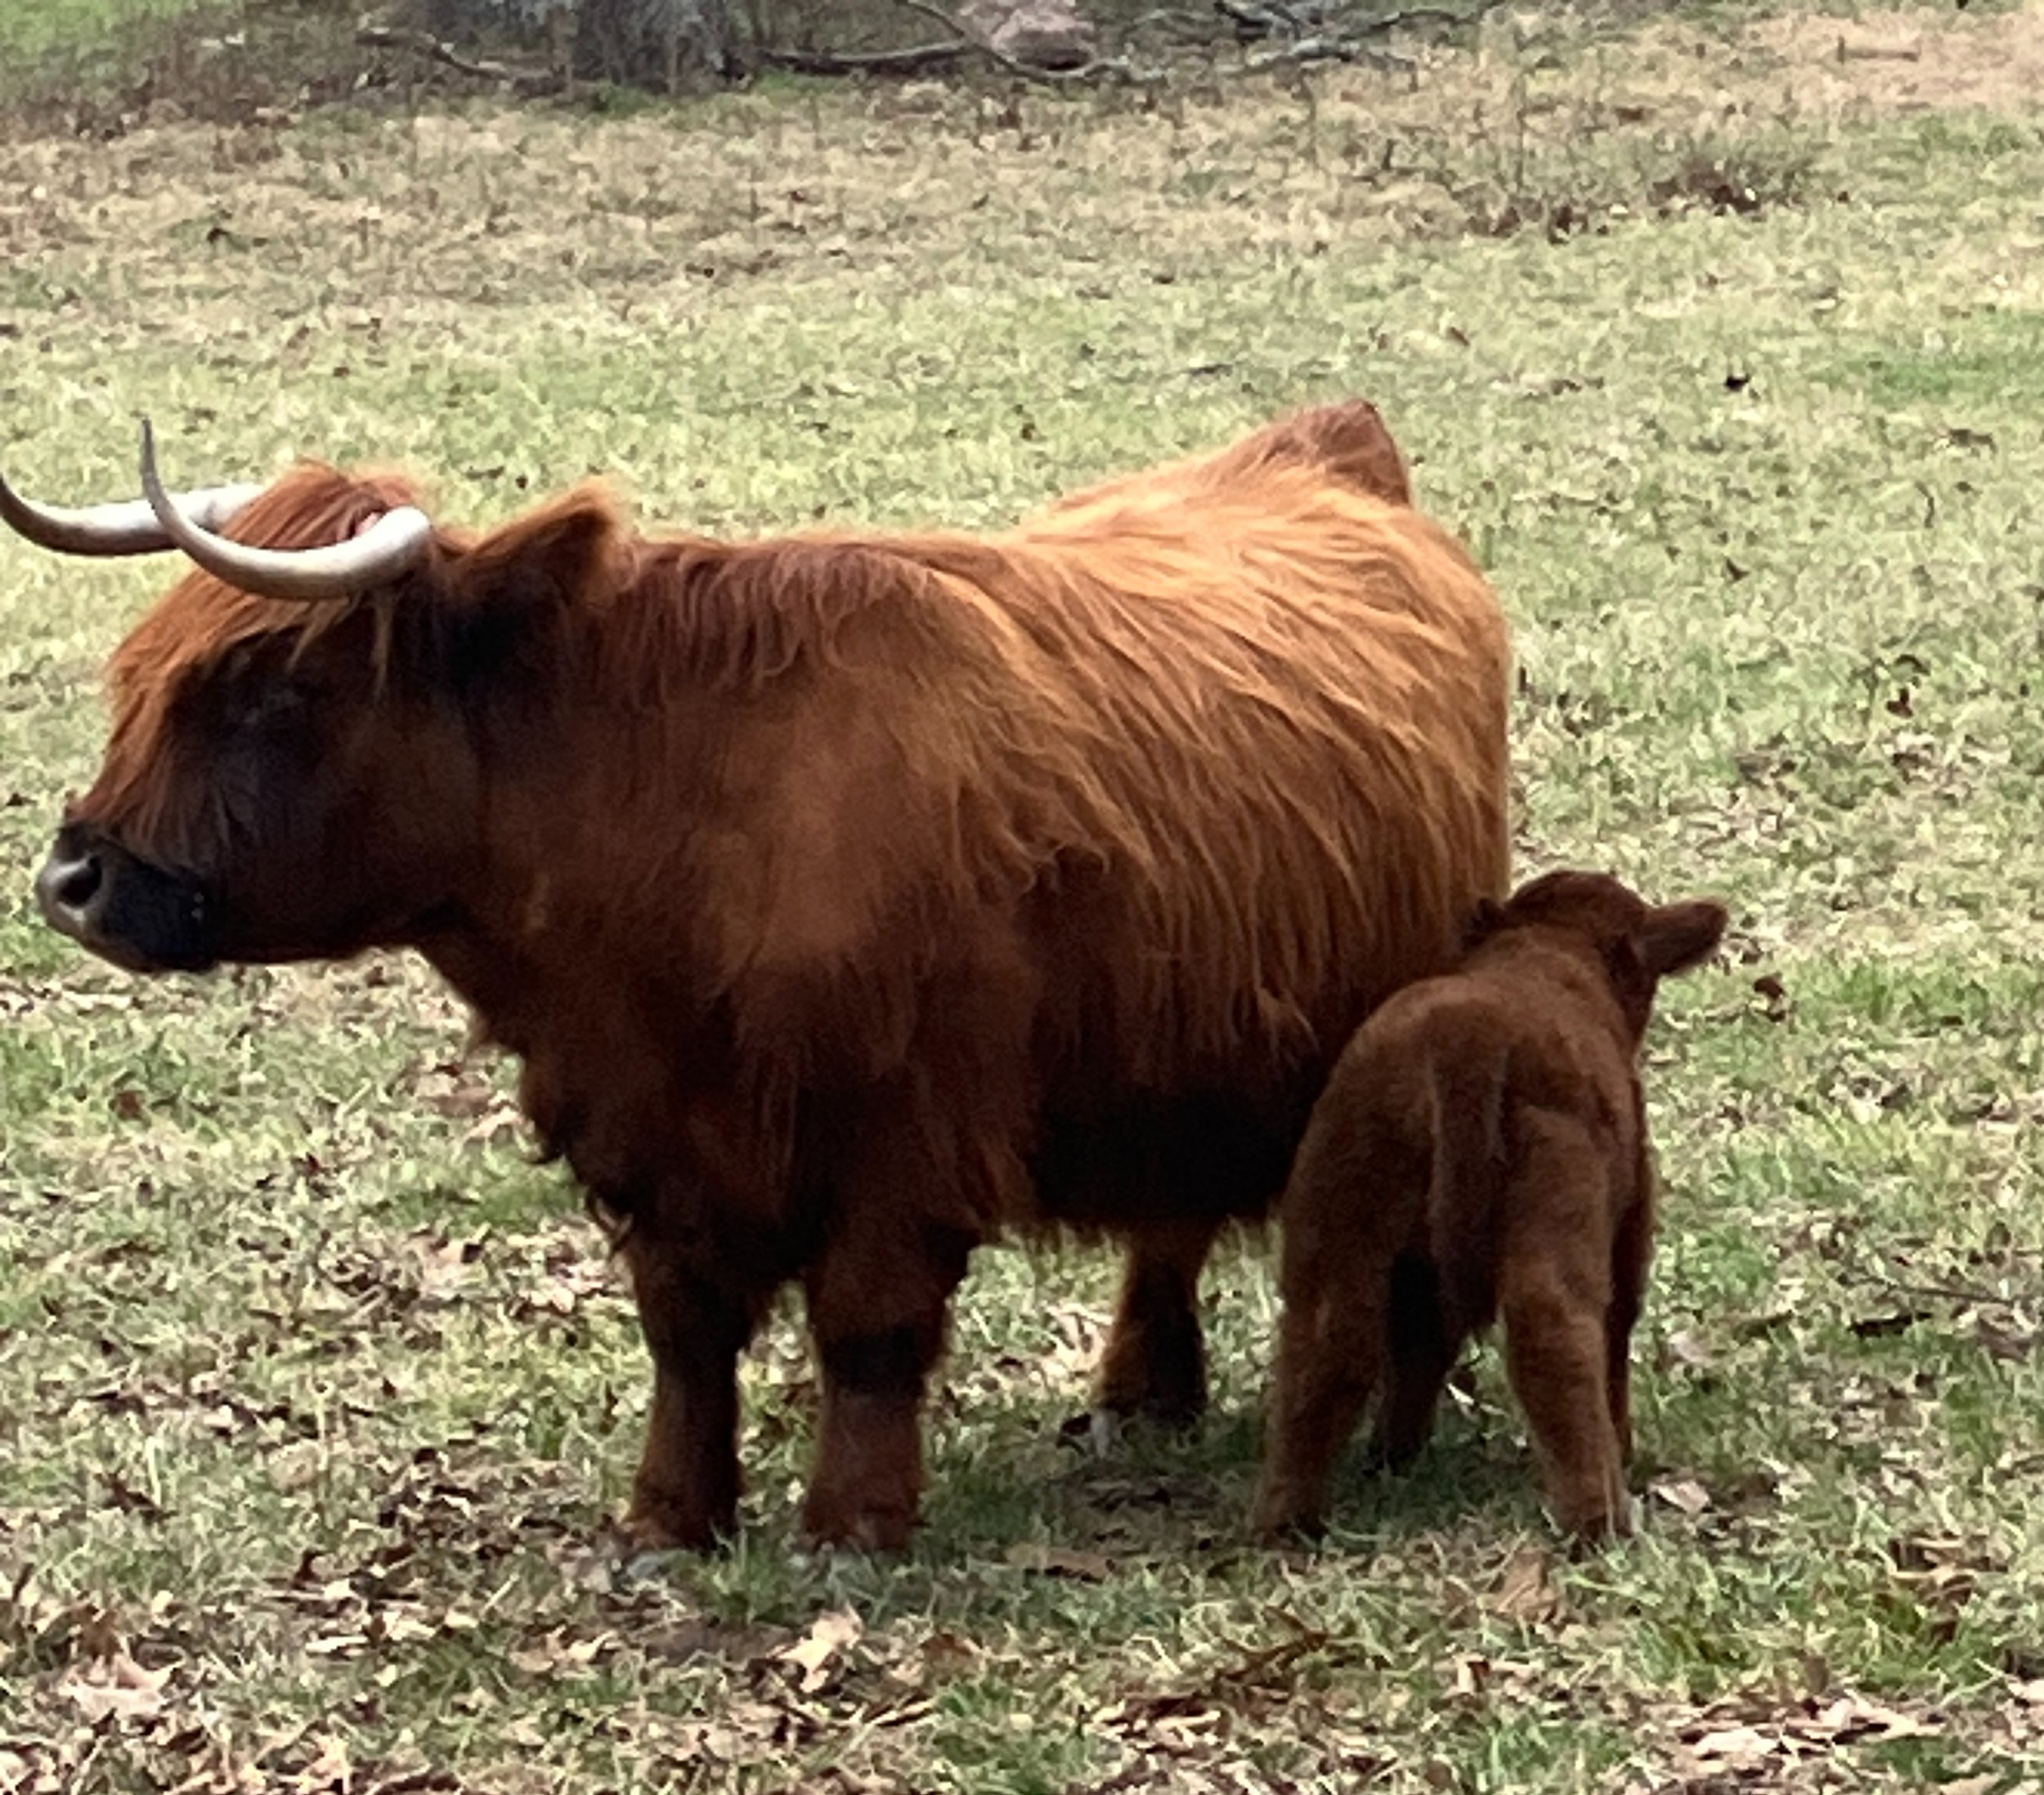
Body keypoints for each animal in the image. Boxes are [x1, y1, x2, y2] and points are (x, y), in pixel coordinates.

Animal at [8, 400, 1510, 1551]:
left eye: (273, 686)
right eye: (145, 673)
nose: (73, 879)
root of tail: (1321, 447)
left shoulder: (906, 1133)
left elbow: (867, 1327)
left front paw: (854, 1524)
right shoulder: (642, 1133)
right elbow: (684, 1334)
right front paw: (671, 1518)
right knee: (1169, 1220)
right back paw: (1145, 1391)